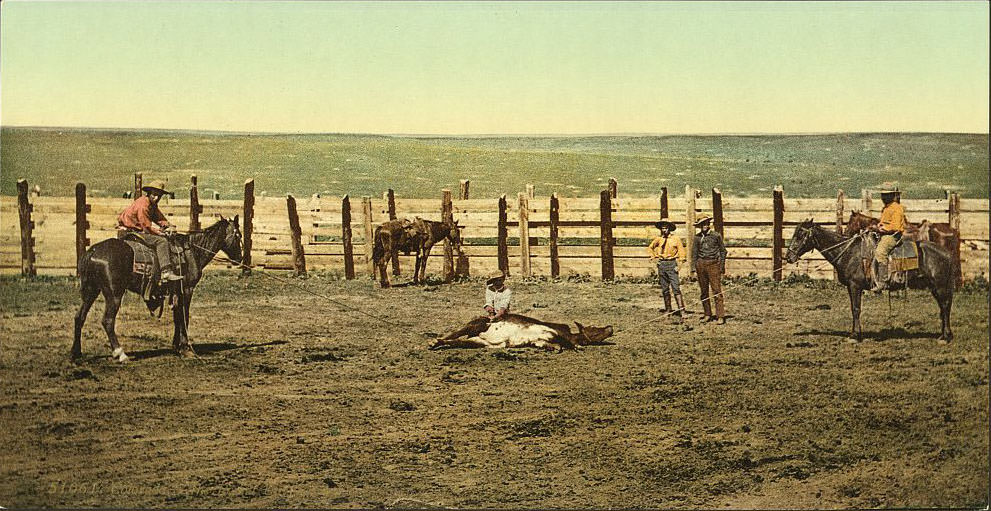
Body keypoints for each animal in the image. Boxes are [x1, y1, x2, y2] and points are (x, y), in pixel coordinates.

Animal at [73, 215, 242, 360]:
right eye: (238, 236)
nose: (239, 258)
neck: (194, 251)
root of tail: (93, 251)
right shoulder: (187, 289)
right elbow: (184, 317)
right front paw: (186, 349)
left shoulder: (177, 292)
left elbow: (177, 318)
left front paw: (176, 347)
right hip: (114, 294)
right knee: (107, 321)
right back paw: (120, 354)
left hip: (91, 290)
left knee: (79, 317)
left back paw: (76, 353)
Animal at [788, 220, 956, 344]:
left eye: (800, 234)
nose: (788, 257)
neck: (849, 252)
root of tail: (947, 253)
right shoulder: (851, 287)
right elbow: (854, 309)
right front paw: (856, 333)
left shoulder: (855, 286)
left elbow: (856, 309)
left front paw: (855, 336)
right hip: (935, 287)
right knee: (943, 308)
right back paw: (943, 335)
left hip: (940, 286)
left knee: (945, 306)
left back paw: (946, 337)